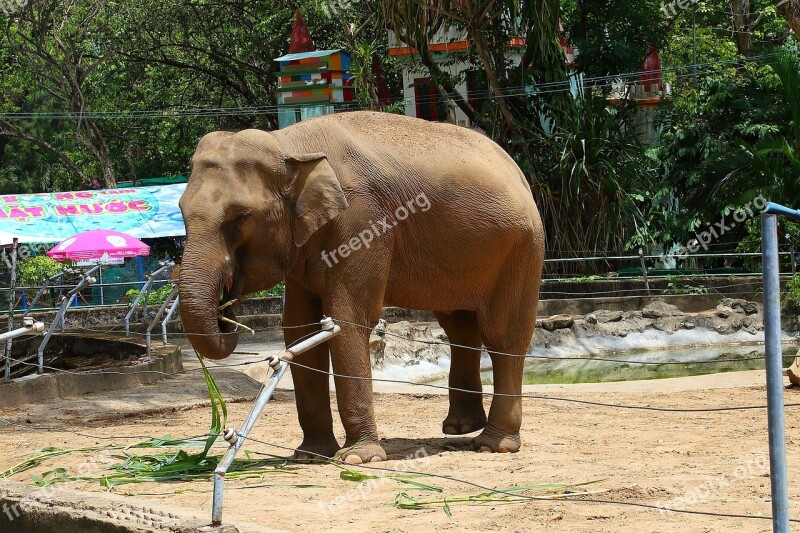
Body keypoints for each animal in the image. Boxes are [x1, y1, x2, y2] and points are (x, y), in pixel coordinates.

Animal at [179, 111, 548, 462]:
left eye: (241, 217)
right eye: (180, 211)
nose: (227, 309)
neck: (287, 144)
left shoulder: (363, 221)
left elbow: (348, 320)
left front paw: (358, 457)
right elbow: (299, 329)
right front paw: (310, 455)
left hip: (522, 250)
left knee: (503, 334)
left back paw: (492, 445)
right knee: (459, 328)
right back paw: (459, 428)